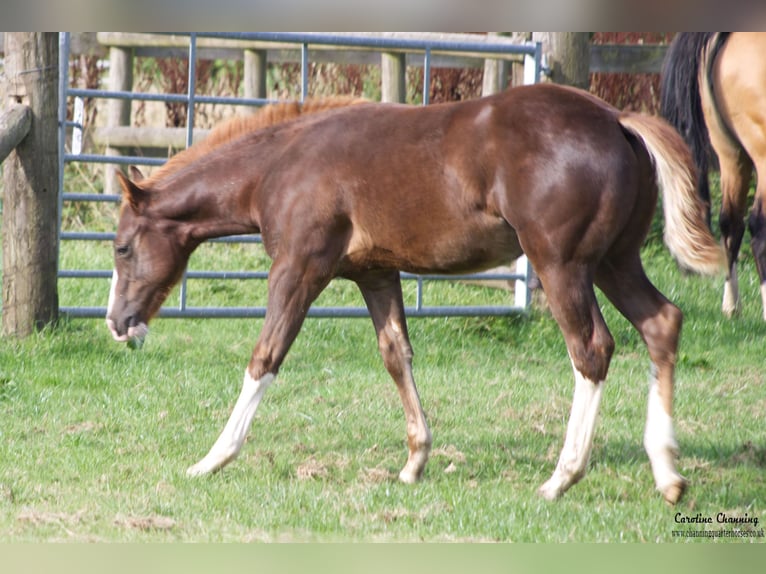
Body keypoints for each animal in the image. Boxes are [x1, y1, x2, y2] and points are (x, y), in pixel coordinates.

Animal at [106, 83, 724, 505]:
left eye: (121, 247)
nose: (117, 322)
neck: (281, 165)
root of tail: (617, 119)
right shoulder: (376, 274)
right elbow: (396, 355)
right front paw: (414, 462)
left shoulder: (300, 267)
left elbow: (266, 356)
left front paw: (212, 459)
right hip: (615, 261)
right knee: (662, 323)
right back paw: (668, 474)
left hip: (562, 264)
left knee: (591, 348)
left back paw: (560, 478)